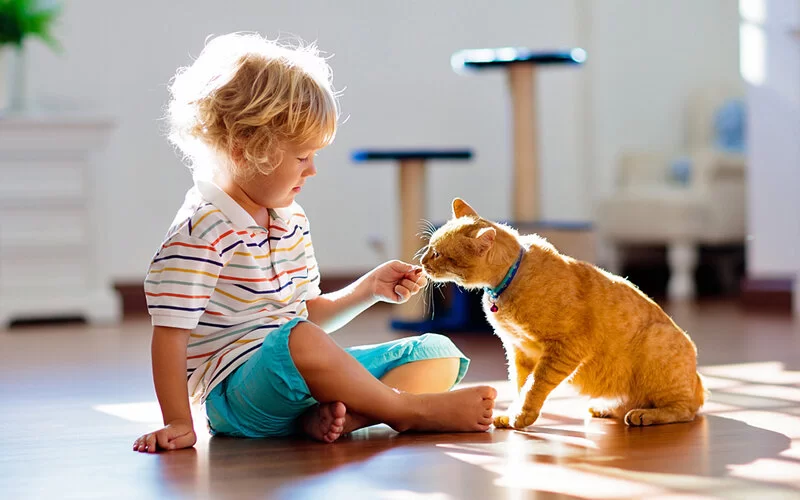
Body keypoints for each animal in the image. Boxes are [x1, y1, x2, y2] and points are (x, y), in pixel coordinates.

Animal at [422, 197, 704, 428]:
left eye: (436, 253)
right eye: (429, 248)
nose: (422, 263)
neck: (506, 284)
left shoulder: (564, 347)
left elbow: (534, 385)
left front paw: (521, 416)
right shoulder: (519, 351)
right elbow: (520, 385)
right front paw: (512, 413)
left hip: (660, 347)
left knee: (685, 410)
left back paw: (644, 415)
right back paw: (605, 407)